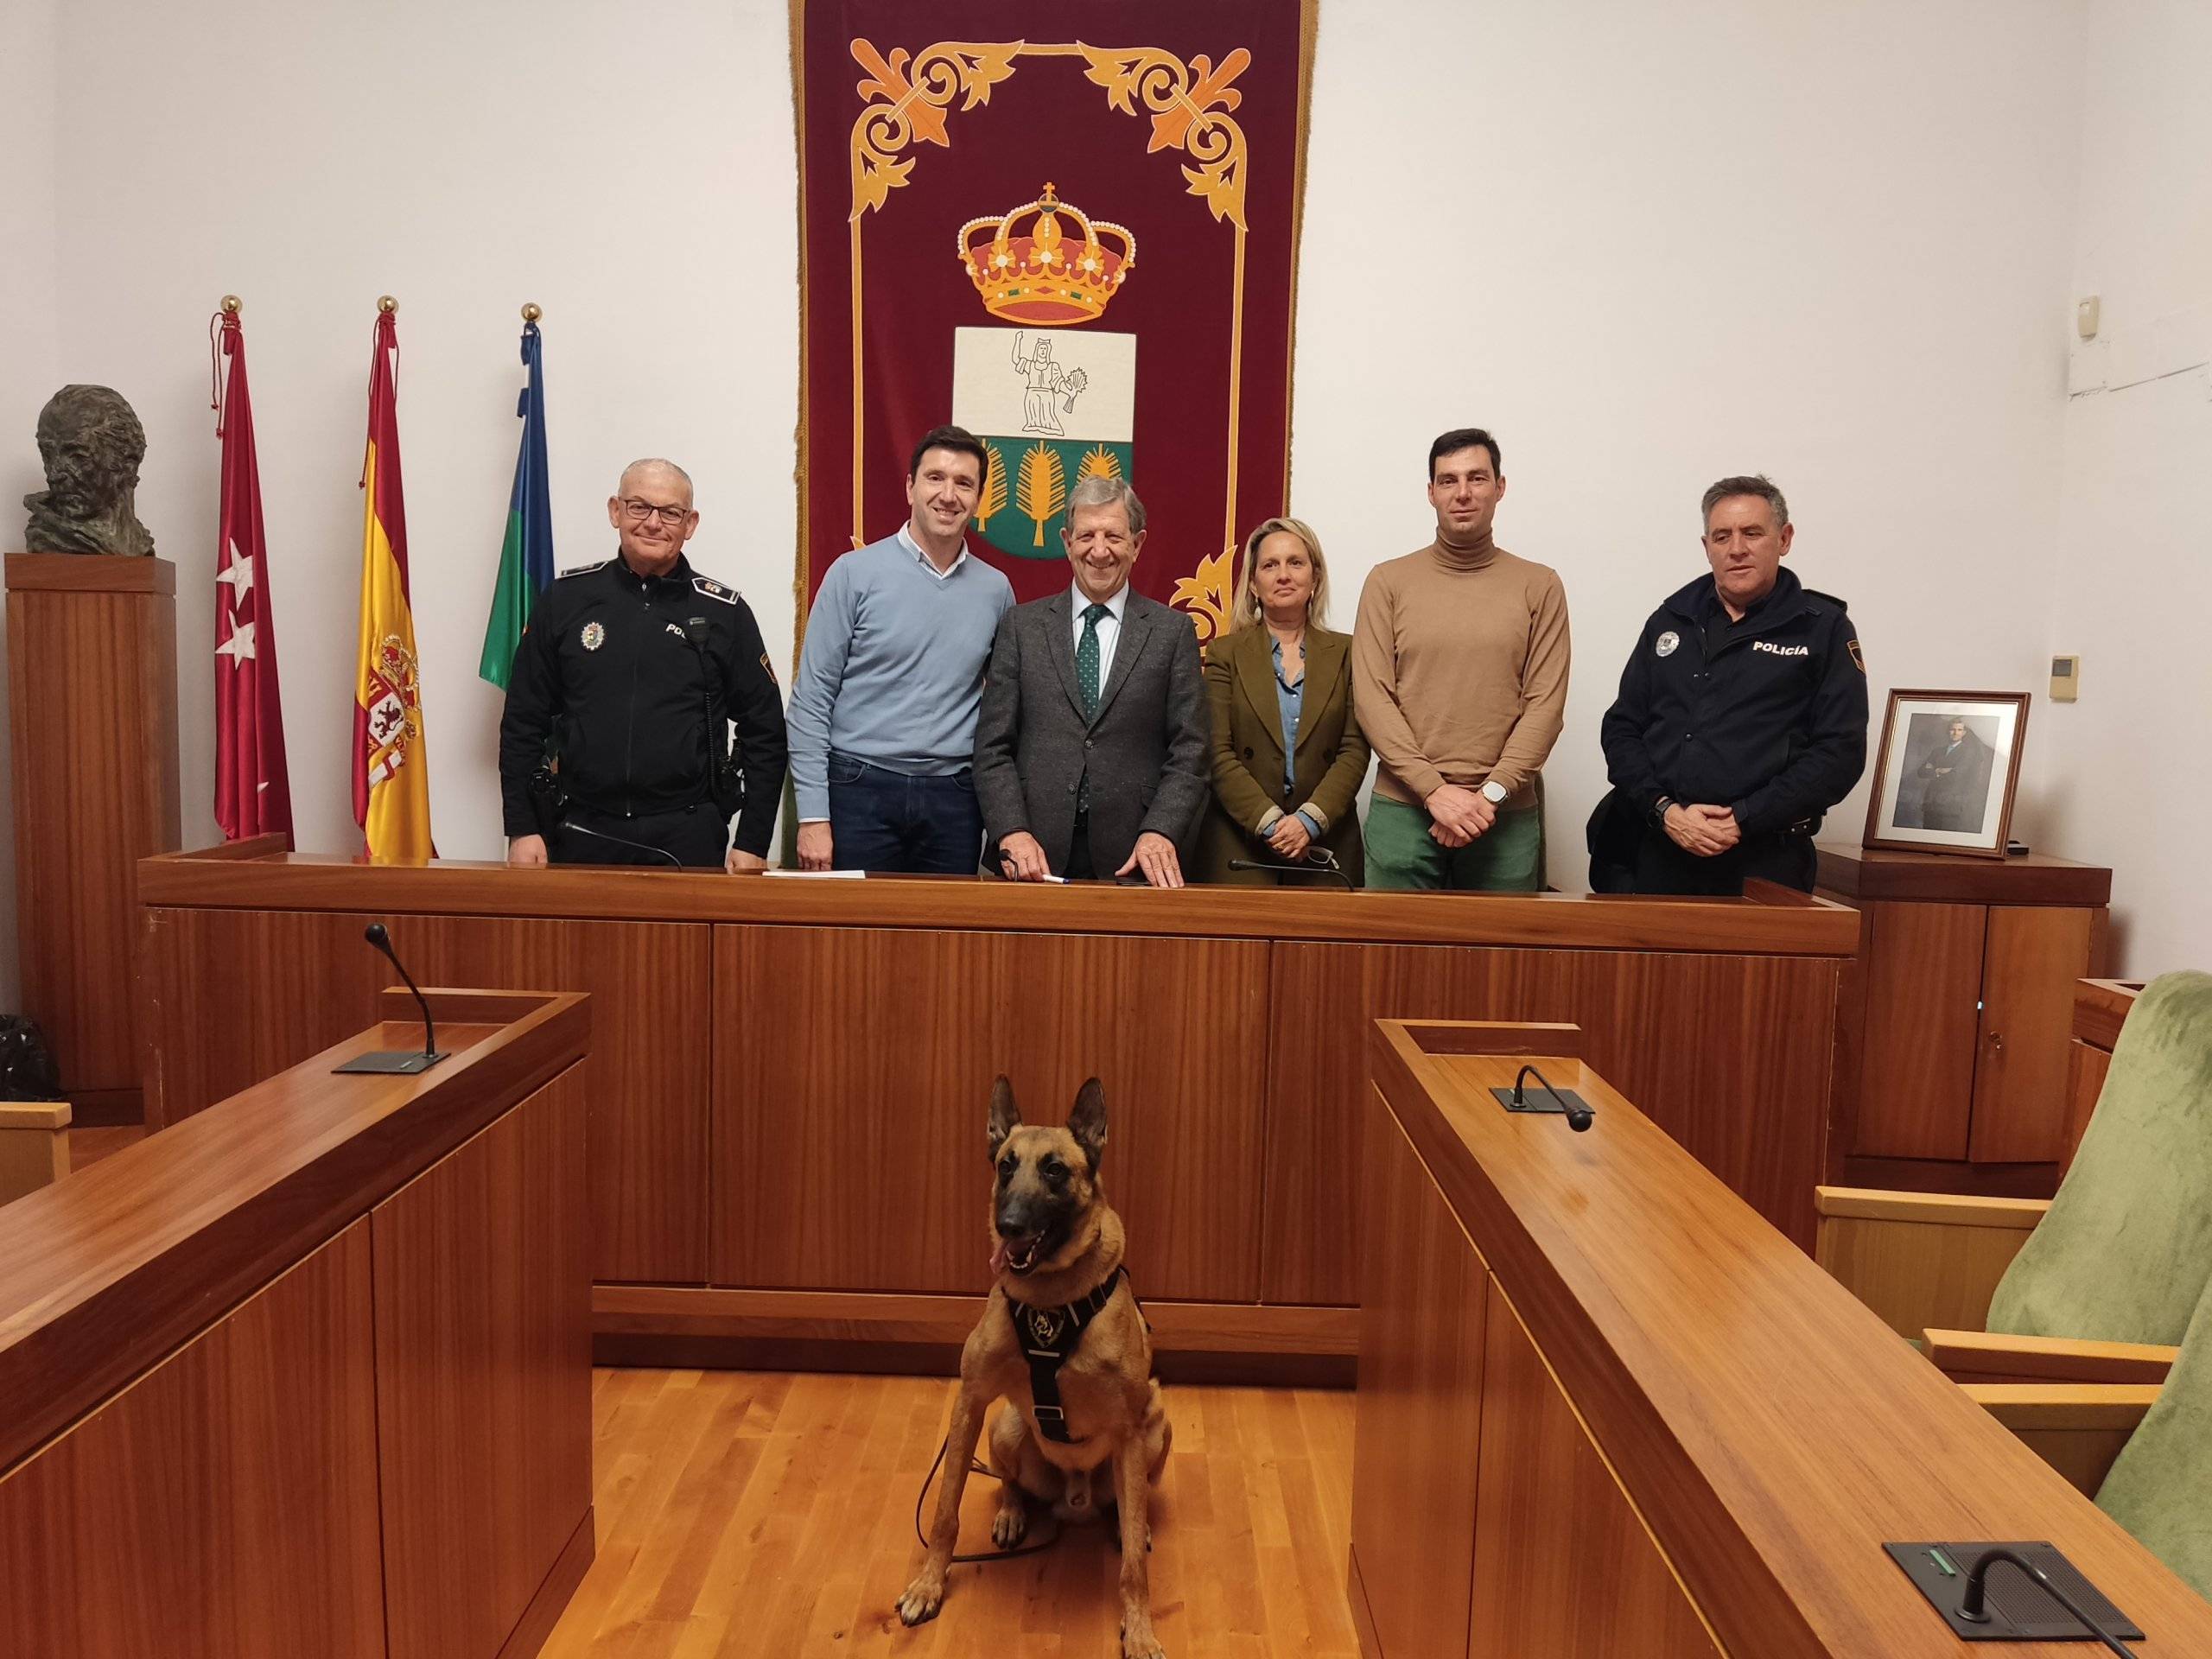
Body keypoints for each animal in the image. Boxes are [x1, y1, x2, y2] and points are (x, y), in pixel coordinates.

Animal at [893, 1079, 1176, 1659]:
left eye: (1055, 1171)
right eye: (1006, 1166)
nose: (1009, 1227)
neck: (1050, 1299)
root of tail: (1075, 1500)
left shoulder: (1130, 1428)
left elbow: (1133, 1569)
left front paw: (1139, 1629)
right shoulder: (972, 1401)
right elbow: (945, 1510)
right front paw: (929, 1585)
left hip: (1156, 1426)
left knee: (1131, 1506)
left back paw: (1127, 1526)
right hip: (1005, 1426)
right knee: (1010, 1481)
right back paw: (1012, 1512)